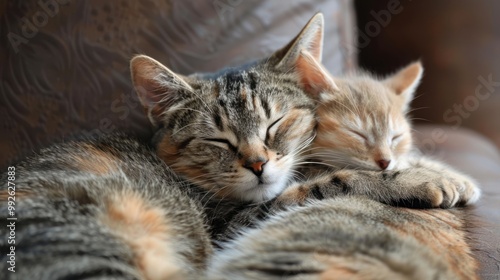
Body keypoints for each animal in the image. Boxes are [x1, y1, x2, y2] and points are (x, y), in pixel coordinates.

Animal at [1, 12, 482, 278]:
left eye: (275, 125)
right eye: (217, 139)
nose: (256, 164)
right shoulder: (232, 222)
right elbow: (335, 180)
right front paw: (422, 179)